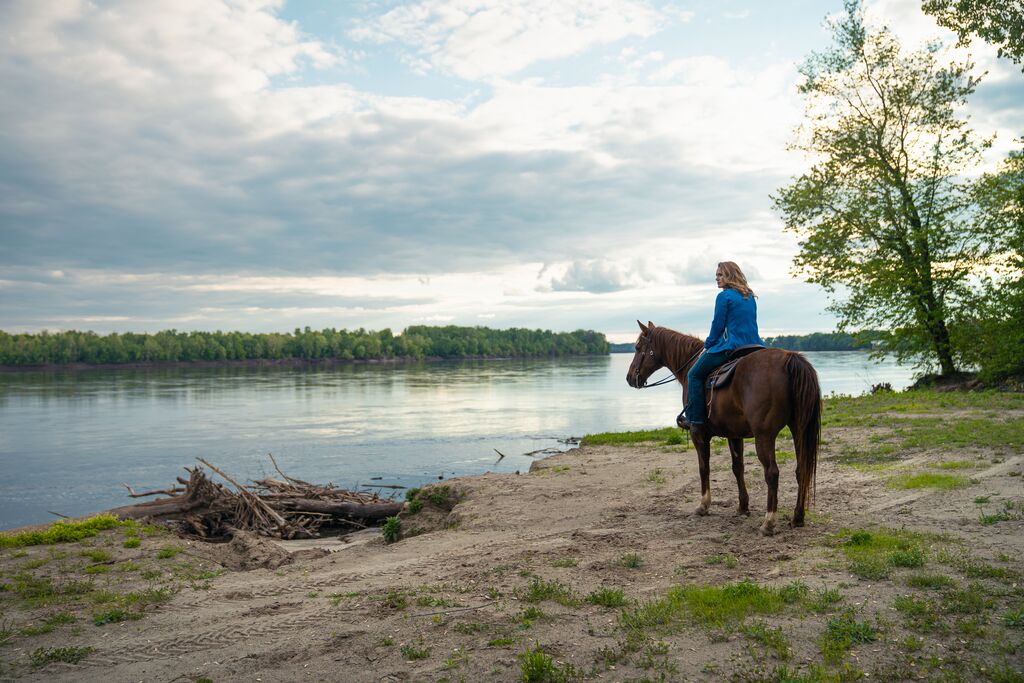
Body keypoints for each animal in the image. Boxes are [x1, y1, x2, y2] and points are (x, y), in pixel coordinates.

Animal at [626, 319, 819, 532]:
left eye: (637, 348)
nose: (629, 378)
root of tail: (789, 358)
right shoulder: (734, 434)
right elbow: (738, 468)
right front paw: (743, 506)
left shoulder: (698, 433)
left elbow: (704, 467)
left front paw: (703, 505)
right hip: (798, 430)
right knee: (801, 469)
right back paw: (798, 517)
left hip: (764, 436)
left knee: (772, 473)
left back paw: (769, 522)